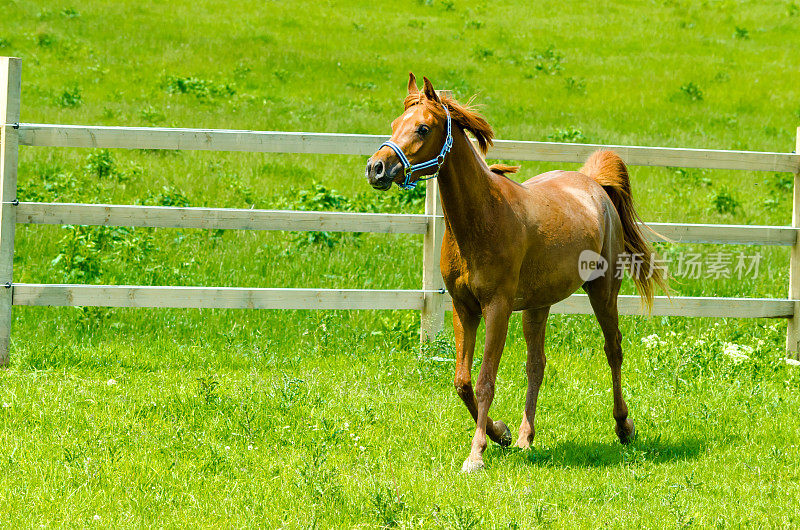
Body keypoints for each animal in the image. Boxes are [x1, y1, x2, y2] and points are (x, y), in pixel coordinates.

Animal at [366, 73, 664, 470]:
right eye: (395, 124)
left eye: (422, 128)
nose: (376, 168)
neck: (481, 218)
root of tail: (593, 185)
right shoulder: (464, 308)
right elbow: (462, 380)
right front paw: (501, 433)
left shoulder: (497, 307)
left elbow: (485, 380)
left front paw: (476, 454)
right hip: (538, 305)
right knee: (536, 365)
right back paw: (525, 438)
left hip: (603, 291)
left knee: (612, 349)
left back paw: (623, 426)